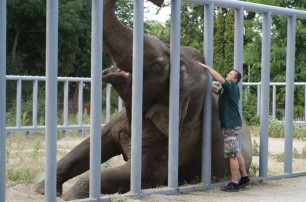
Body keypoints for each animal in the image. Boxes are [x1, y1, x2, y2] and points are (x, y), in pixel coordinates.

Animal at [35, 0, 252, 200]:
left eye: (156, 67)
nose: (159, 2)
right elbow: (87, 146)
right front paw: (42, 191)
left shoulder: (179, 138)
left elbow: (140, 174)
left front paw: (69, 197)